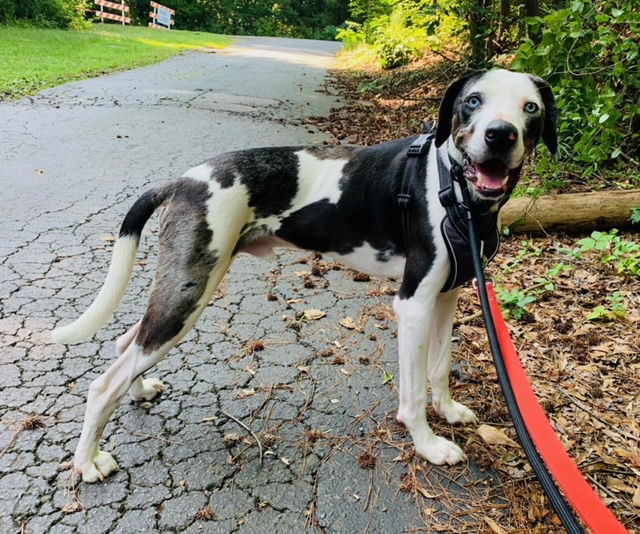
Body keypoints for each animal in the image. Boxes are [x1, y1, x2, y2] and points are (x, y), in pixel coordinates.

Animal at [52, 69, 556, 484]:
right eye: (473, 100)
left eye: (530, 107)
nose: (499, 134)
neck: (457, 193)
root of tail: (183, 180)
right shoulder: (413, 306)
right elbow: (412, 395)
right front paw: (428, 446)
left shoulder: (447, 296)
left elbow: (440, 367)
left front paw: (447, 410)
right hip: (188, 293)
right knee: (104, 383)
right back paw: (87, 461)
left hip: (182, 289)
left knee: (128, 346)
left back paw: (138, 390)